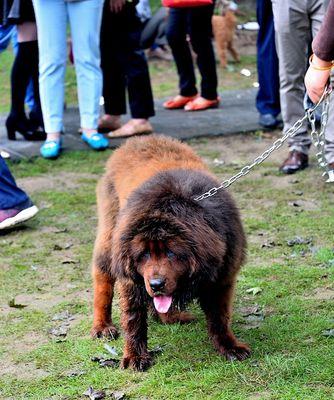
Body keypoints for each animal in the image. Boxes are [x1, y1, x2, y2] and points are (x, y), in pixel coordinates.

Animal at [91, 135, 250, 372]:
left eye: (172, 253)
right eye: (143, 255)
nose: (156, 284)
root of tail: (135, 141)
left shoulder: (222, 274)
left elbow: (220, 316)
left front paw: (228, 346)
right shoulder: (130, 278)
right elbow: (133, 319)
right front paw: (135, 356)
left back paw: (171, 317)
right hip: (109, 235)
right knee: (102, 280)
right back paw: (102, 325)